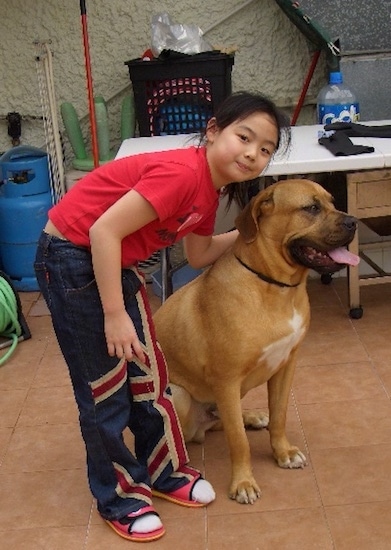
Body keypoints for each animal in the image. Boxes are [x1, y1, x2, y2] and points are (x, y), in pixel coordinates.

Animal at [154, 180, 358, 504]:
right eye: (311, 208)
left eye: (332, 201)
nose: (354, 222)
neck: (274, 287)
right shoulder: (226, 380)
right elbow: (238, 441)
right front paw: (243, 482)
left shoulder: (285, 366)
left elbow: (279, 415)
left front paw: (283, 452)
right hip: (181, 395)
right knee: (197, 432)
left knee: (219, 420)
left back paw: (250, 416)